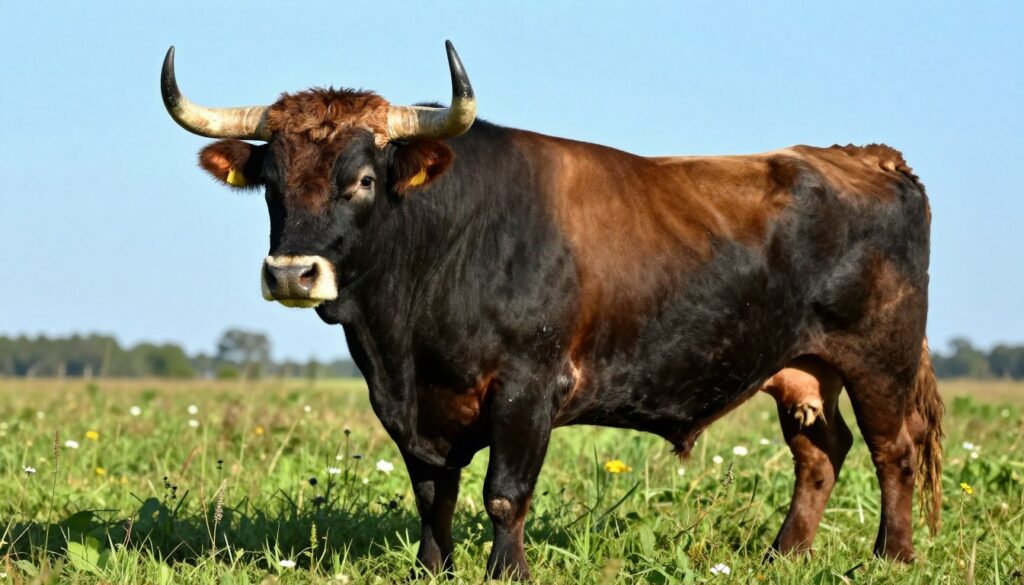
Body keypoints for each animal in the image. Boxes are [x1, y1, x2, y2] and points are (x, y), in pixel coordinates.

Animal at [161, 42, 943, 579]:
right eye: (270, 180)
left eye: (361, 179)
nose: (292, 272)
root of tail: (868, 156)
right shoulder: (411, 405)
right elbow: (432, 492)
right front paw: (431, 568)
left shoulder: (527, 387)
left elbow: (504, 494)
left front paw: (506, 571)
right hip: (802, 367)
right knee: (822, 451)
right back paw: (785, 554)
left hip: (880, 358)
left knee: (893, 451)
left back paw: (892, 557)